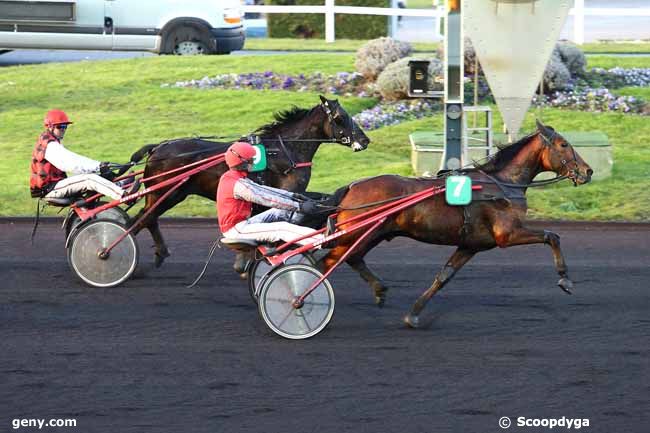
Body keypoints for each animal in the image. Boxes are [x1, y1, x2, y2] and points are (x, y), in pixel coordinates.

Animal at [128, 96, 368, 268]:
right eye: (340, 117)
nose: (365, 140)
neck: (283, 150)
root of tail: (158, 147)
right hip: (166, 193)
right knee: (141, 220)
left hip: (167, 194)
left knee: (146, 218)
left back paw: (160, 253)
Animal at [322, 118, 588, 328]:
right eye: (564, 144)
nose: (588, 171)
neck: (502, 185)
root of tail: (352, 186)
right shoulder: (507, 234)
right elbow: (552, 235)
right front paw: (565, 279)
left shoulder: (472, 245)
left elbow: (444, 276)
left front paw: (413, 315)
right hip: (360, 233)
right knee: (329, 262)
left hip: (370, 235)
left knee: (351, 258)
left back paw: (378, 290)